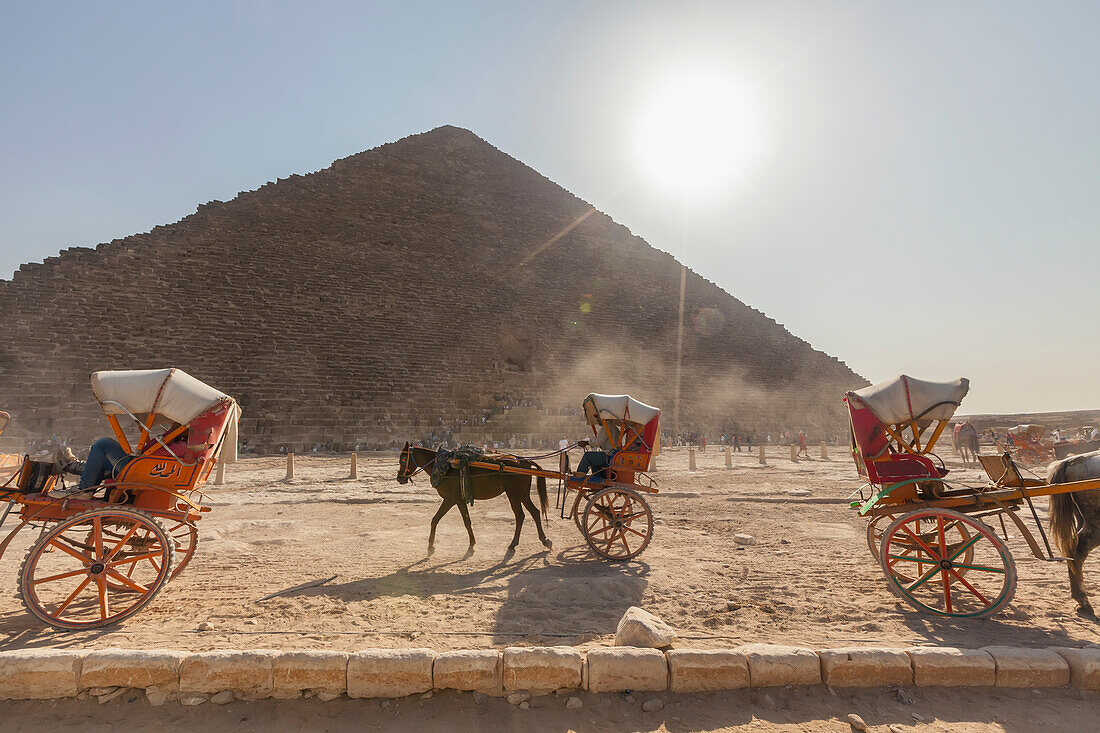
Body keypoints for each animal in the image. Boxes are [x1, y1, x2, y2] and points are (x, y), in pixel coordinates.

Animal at [396, 442, 550, 556]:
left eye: (403, 460)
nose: (399, 478)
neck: (442, 466)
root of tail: (525, 461)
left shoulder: (453, 499)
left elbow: (458, 521)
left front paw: (432, 545)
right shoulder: (456, 499)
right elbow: (442, 520)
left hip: (514, 494)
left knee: (520, 515)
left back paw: (513, 544)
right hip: (522, 494)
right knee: (535, 512)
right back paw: (544, 540)